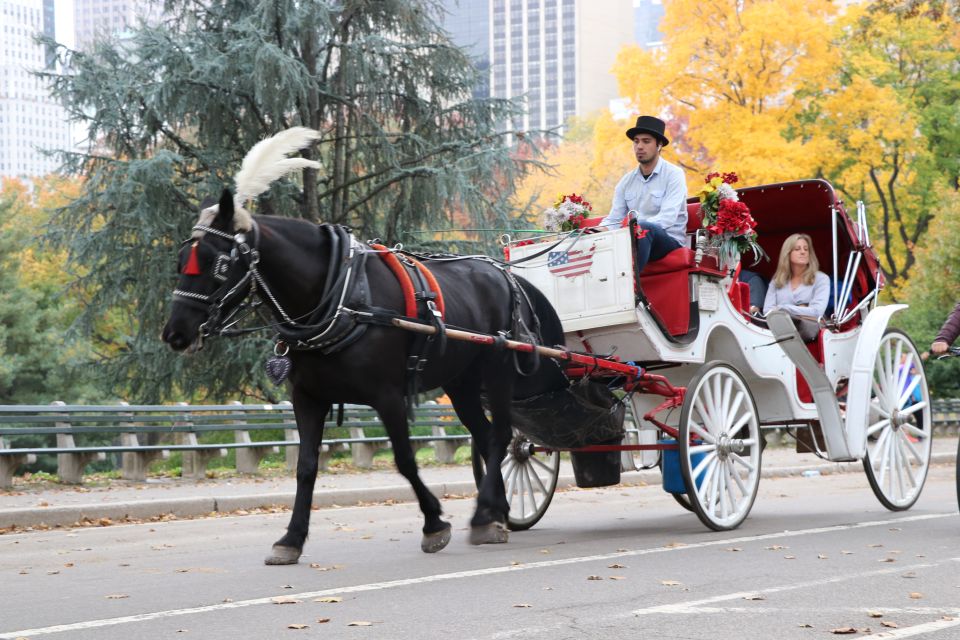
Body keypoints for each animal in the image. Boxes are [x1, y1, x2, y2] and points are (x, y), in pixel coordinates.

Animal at [160, 189, 568, 564]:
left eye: (218, 263)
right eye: (180, 260)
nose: (175, 333)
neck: (341, 296)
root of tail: (503, 274)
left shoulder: (387, 396)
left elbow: (404, 460)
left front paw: (434, 523)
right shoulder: (307, 397)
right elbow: (306, 467)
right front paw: (291, 538)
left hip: (497, 370)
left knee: (500, 436)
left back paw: (485, 513)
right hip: (461, 382)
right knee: (484, 436)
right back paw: (495, 512)